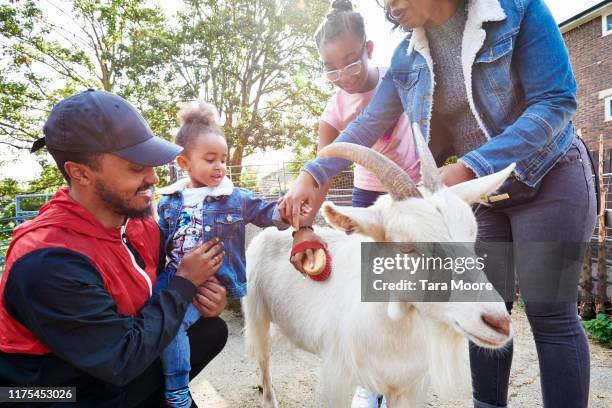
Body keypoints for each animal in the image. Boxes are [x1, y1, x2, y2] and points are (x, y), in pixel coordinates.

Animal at [244, 125, 516, 408]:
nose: (499, 323)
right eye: (407, 247)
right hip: (256, 312)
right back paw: (268, 396)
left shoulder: (409, 388)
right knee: (263, 355)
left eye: (472, 238)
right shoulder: (335, 378)